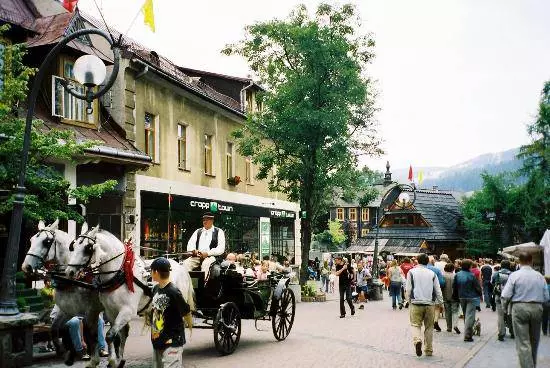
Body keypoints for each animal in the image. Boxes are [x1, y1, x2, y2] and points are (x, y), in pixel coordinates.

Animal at [21, 220, 105, 366]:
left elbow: (89, 333)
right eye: (31, 240)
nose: (26, 267)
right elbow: (54, 329)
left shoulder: (89, 311)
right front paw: (63, 351)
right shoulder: (65, 309)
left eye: (46, 242)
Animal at [65, 224, 196, 366]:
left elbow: (110, 335)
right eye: (73, 246)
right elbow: (118, 335)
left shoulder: (127, 311)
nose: (69, 272)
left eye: (87, 248)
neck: (120, 273)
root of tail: (180, 266)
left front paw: (112, 361)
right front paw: (118, 360)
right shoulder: (111, 312)